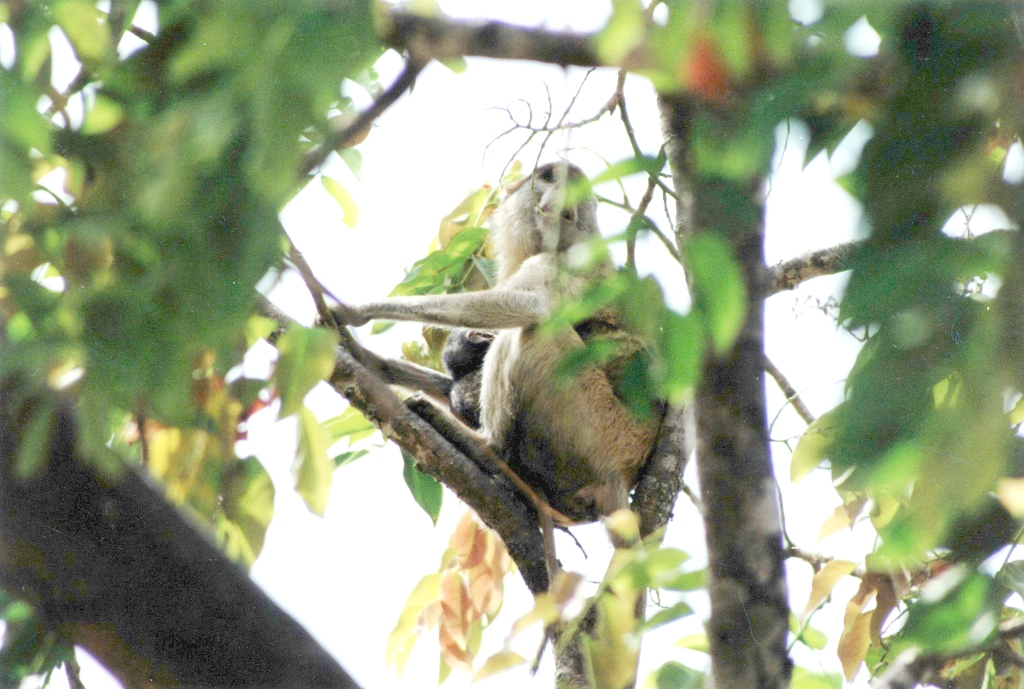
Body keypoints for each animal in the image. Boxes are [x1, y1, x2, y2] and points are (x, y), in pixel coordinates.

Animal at [331, 162, 659, 528]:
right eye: (550, 176)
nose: (563, 202)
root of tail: (623, 472)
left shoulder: (563, 265)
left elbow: (530, 305)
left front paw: (357, 310)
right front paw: (365, 357)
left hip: (594, 423)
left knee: (532, 330)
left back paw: (486, 447)